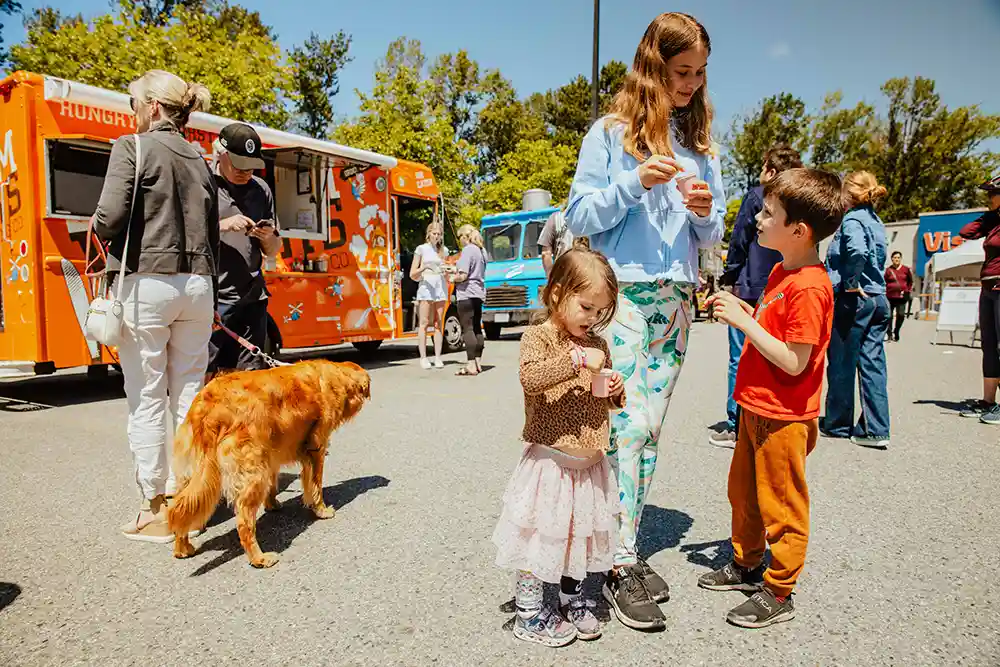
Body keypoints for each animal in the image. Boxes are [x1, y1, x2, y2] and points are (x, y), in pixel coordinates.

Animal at [168, 360, 372, 568]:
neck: (333, 376)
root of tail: (208, 405)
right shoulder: (316, 449)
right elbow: (316, 486)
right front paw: (321, 510)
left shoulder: (273, 453)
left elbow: (273, 483)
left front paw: (272, 504)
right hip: (252, 473)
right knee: (244, 522)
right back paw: (259, 558)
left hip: (192, 473)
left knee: (180, 509)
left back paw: (182, 548)